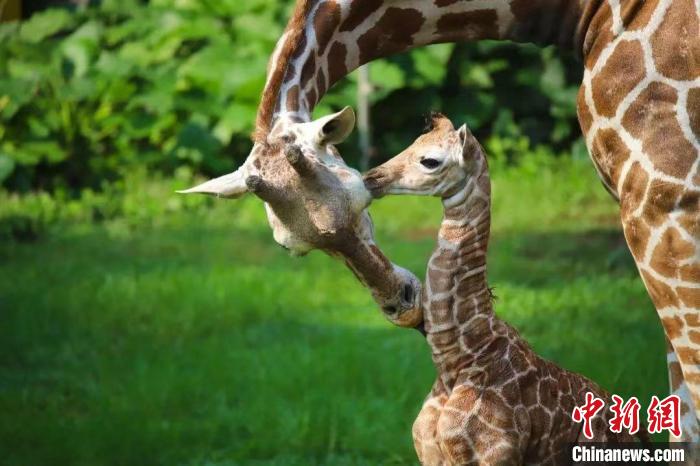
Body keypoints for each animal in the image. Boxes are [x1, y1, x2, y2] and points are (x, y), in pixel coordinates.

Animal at [364, 114, 644, 466]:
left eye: (430, 160)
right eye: (411, 144)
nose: (371, 178)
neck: (457, 360)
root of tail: (643, 438)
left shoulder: (498, 454)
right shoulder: (430, 454)